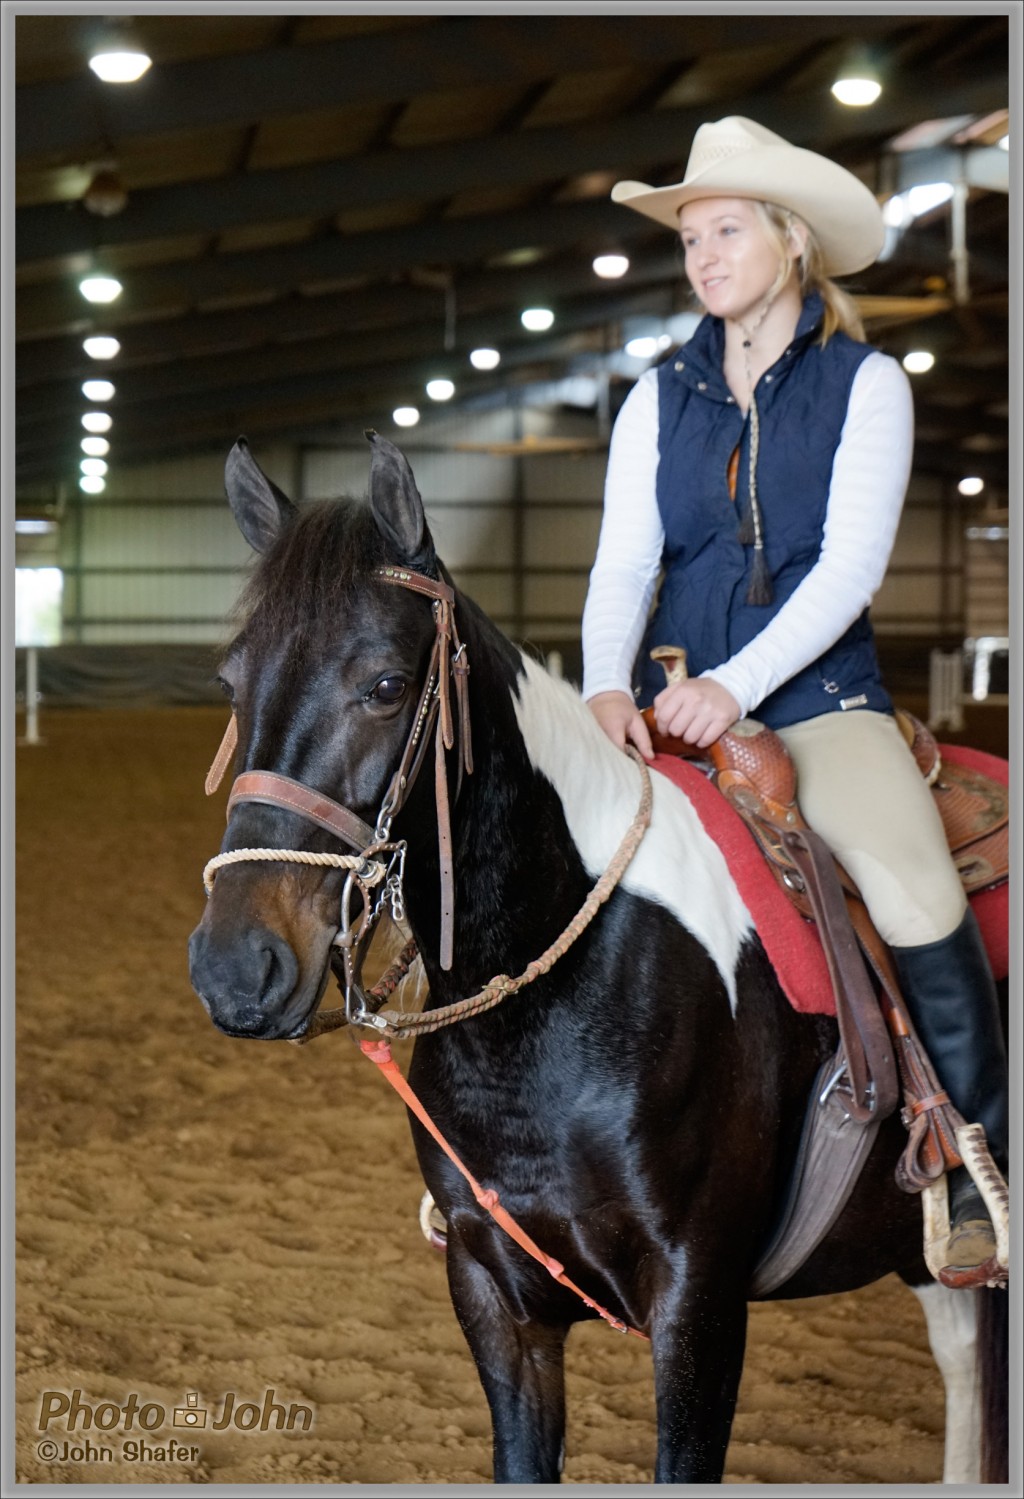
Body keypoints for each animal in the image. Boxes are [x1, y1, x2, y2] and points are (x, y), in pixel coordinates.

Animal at [188, 434, 1007, 1487]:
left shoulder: (699, 1306)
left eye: (384, 685)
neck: (553, 996)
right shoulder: (494, 1294)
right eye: (230, 683)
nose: (236, 967)